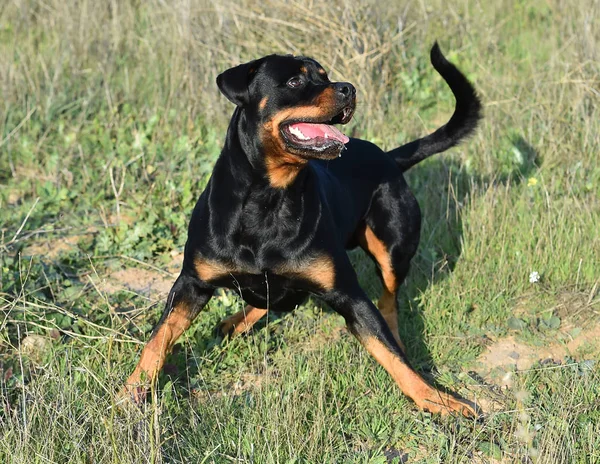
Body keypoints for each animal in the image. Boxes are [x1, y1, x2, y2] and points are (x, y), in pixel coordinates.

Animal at [119, 41, 480, 416]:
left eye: (325, 76)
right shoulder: (192, 283)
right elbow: (158, 338)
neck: (269, 198)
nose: (348, 88)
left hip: (394, 246)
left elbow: (390, 353)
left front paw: (437, 399)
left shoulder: (347, 294)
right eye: (295, 81)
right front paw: (132, 389)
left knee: (389, 300)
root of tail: (388, 156)